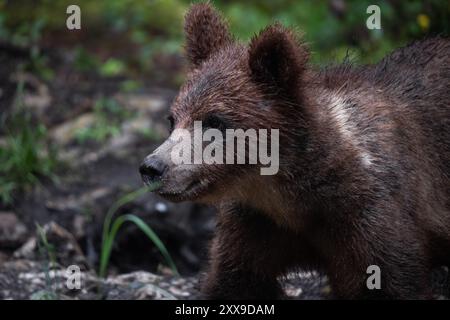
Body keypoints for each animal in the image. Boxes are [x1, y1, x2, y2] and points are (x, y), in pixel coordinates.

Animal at [140, 3, 450, 300]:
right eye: (172, 120)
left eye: (214, 121)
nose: (152, 167)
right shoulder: (257, 222)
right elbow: (234, 280)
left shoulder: (372, 215)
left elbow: (390, 281)